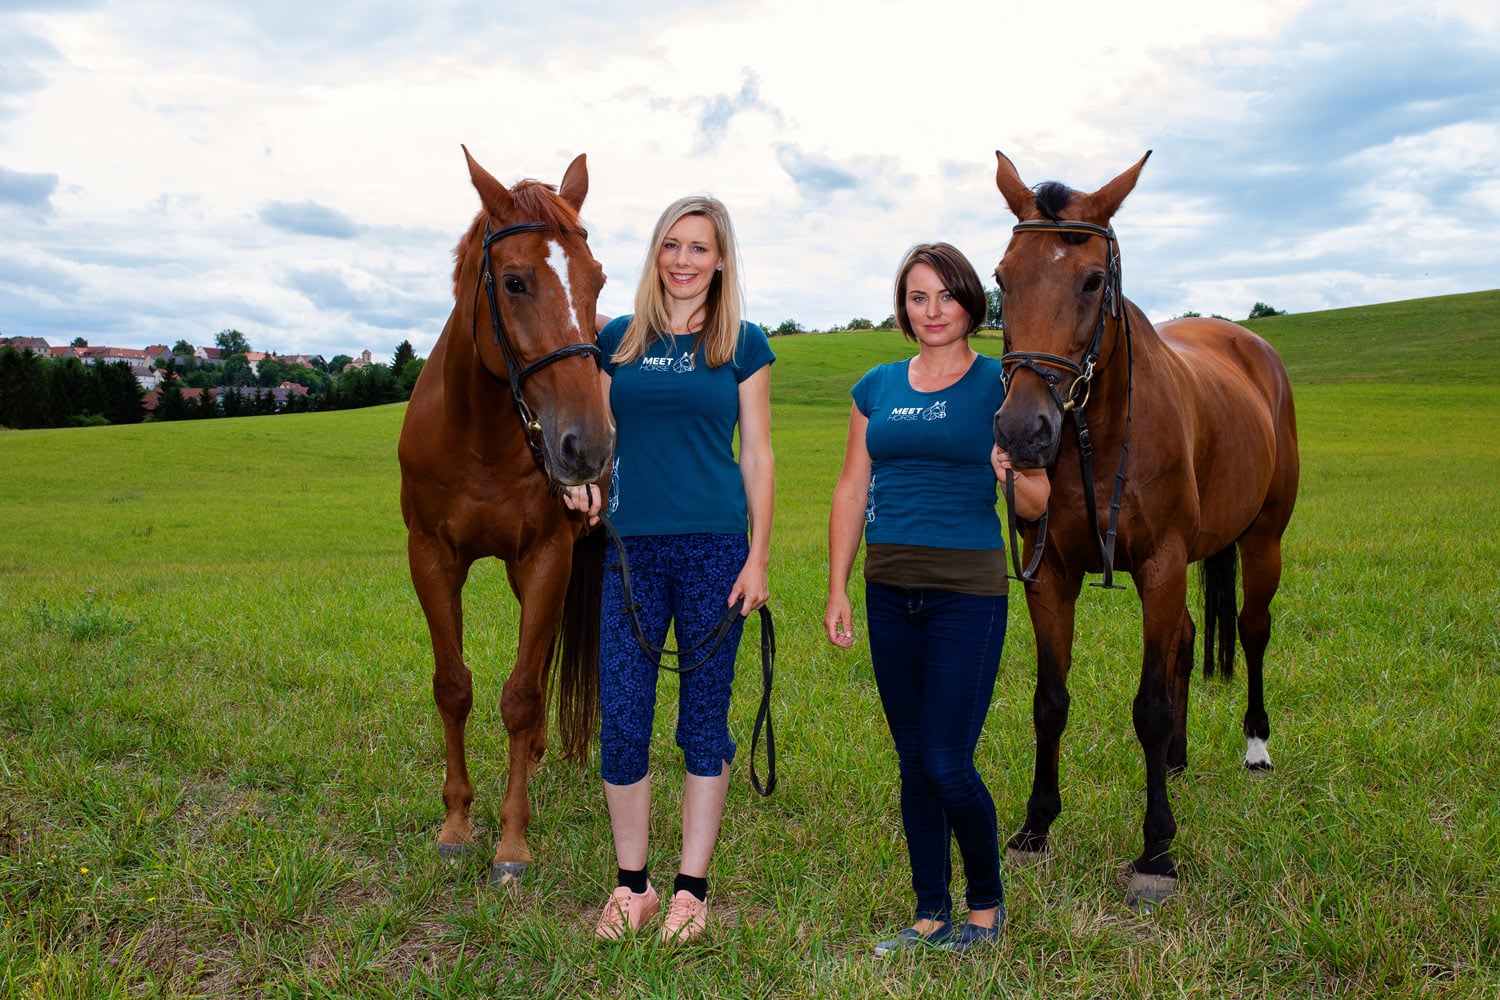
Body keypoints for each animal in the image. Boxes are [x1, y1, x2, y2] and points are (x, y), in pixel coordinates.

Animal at [399, 148, 615, 881]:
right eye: (515, 281)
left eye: (597, 279)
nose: (589, 445)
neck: (483, 440)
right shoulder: (432, 558)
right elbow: (452, 686)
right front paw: (456, 825)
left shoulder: (548, 556)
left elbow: (518, 696)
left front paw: (512, 842)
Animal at [990, 152, 1296, 911]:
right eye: (1002, 278)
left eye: (1093, 280)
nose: (1023, 431)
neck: (1095, 439)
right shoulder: (1050, 573)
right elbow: (1050, 701)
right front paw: (1036, 828)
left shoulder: (1160, 566)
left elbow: (1150, 707)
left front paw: (1157, 849)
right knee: (1186, 638)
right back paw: (1180, 760)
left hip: (1263, 540)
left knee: (1251, 630)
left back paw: (1256, 748)